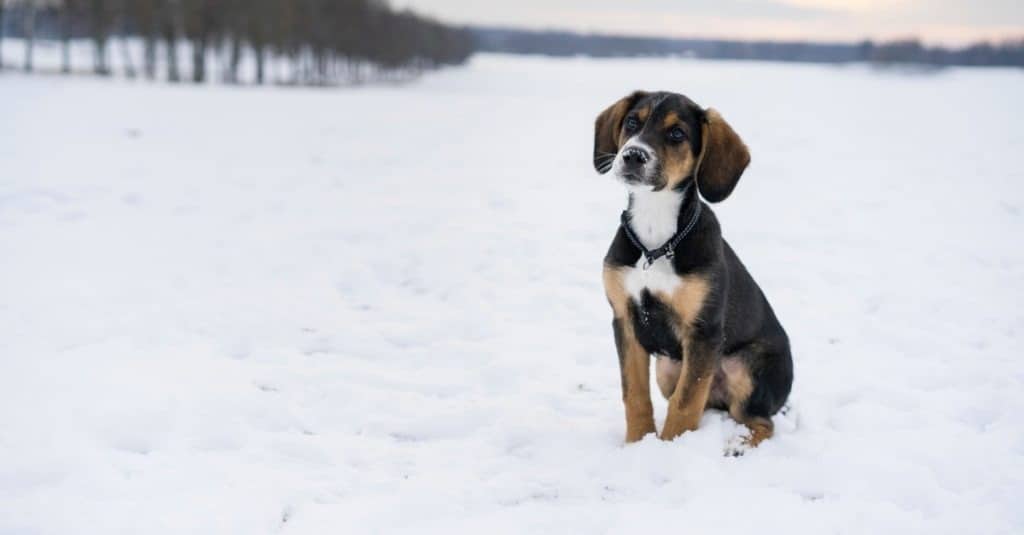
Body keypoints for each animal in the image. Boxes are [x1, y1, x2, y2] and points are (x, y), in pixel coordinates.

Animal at [598, 91, 794, 444]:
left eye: (677, 134)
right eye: (632, 122)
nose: (633, 155)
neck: (655, 239)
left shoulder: (703, 331)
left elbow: (686, 402)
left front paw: (670, 446)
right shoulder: (625, 319)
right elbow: (634, 394)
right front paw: (638, 442)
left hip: (747, 369)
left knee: (760, 421)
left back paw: (738, 445)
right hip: (667, 369)